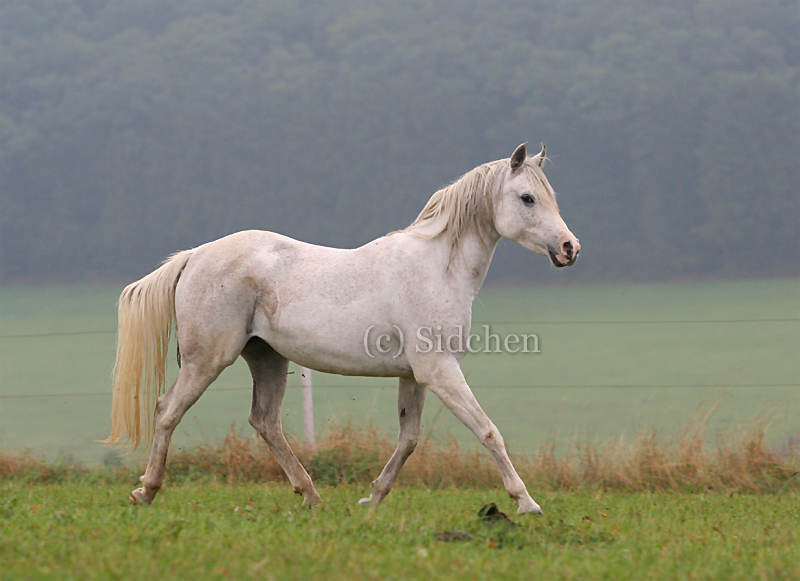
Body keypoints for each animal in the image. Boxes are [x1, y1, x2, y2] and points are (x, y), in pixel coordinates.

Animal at [106, 144, 580, 512]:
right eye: (526, 198)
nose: (569, 248)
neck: (437, 269)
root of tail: (195, 255)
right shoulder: (440, 371)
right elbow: (488, 431)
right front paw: (527, 502)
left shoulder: (416, 376)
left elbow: (409, 439)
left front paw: (373, 497)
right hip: (208, 359)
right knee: (169, 411)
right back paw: (146, 492)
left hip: (266, 358)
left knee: (264, 421)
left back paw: (311, 496)